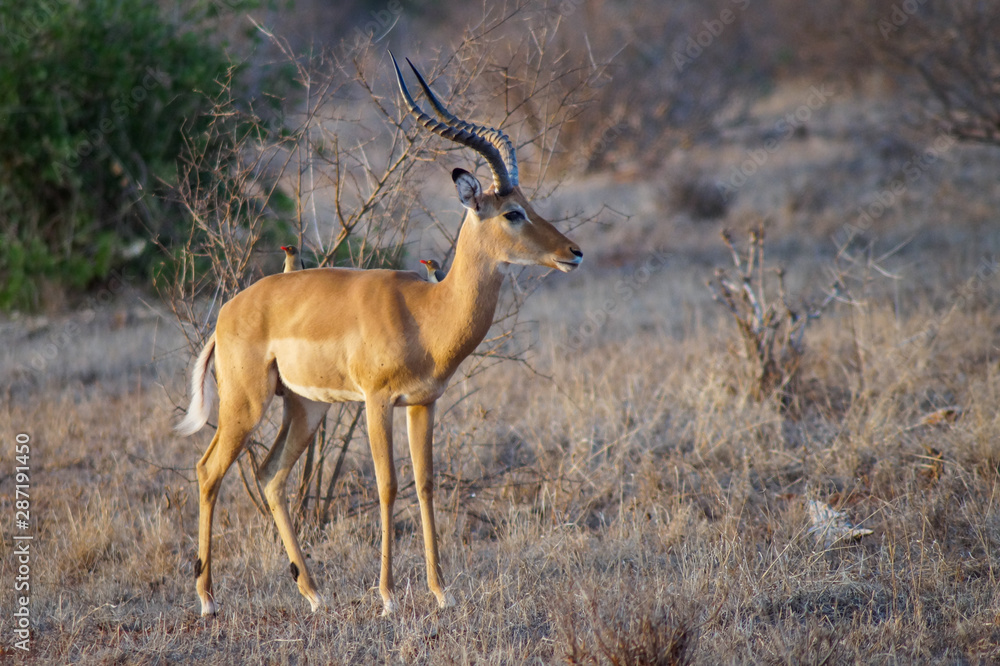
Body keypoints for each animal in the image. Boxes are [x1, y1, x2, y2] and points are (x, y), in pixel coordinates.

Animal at [175, 54, 583, 617]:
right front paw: (389, 597)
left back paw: (314, 592)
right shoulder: (376, 400)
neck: (426, 314)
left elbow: (426, 484)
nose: (573, 253)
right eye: (512, 212)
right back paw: (208, 600)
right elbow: (389, 485)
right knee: (207, 470)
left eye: (529, 203)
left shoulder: (422, 403)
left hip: (306, 407)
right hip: (246, 405)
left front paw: (441, 592)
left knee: (271, 475)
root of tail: (227, 313)